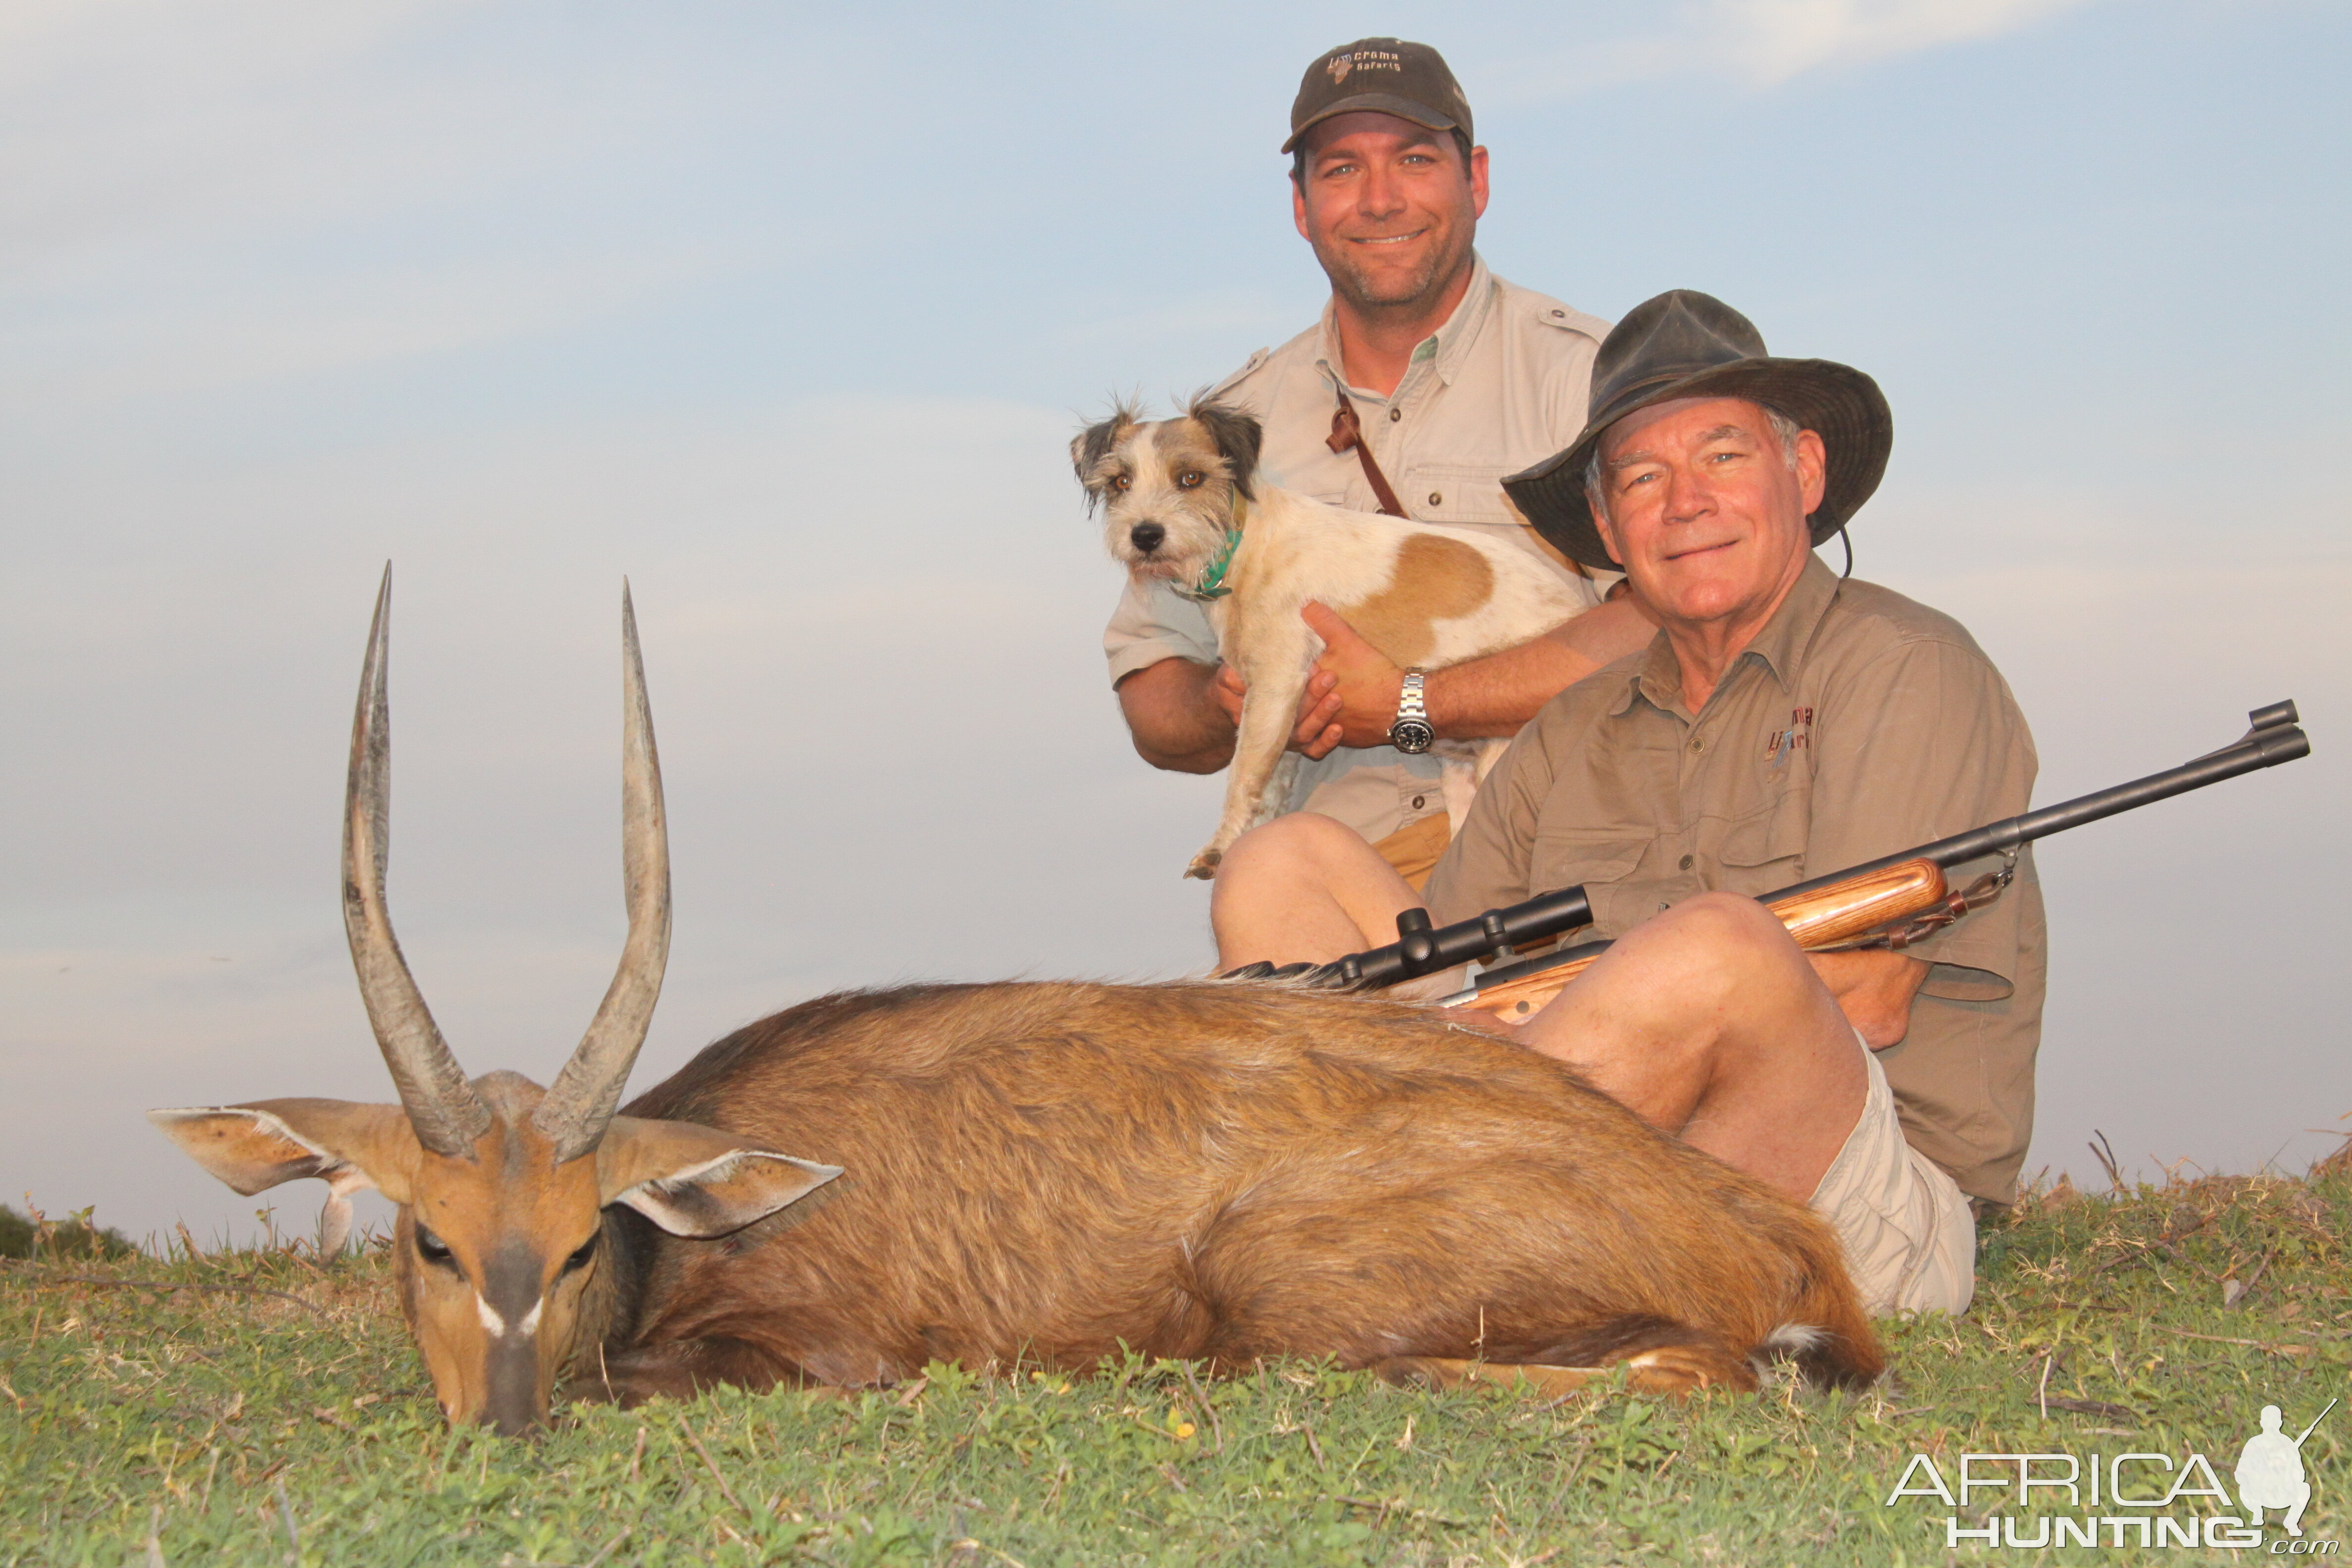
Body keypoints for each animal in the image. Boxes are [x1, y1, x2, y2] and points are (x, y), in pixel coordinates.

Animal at [1077, 399, 1590, 879]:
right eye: (1120, 482)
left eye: (1190, 477)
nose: (1145, 535)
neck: (1244, 546)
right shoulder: (1277, 711)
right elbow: (1269, 787)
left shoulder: (1277, 683)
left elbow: (1243, 776)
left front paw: (1218, 847)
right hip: (1462, 779)